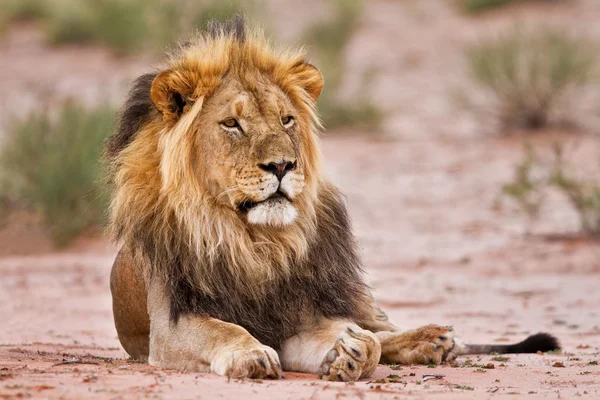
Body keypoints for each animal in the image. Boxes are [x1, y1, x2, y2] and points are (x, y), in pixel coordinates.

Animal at [105, 17, 560, 382]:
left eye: (287, 119)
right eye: (232, 124)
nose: (282, 165)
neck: (255, 241)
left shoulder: (298, 315)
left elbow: (366, 341)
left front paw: (349, 353)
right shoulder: (170, 326)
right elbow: (225, 329)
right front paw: (251, 354)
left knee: (377, 327)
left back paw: (430, 340)